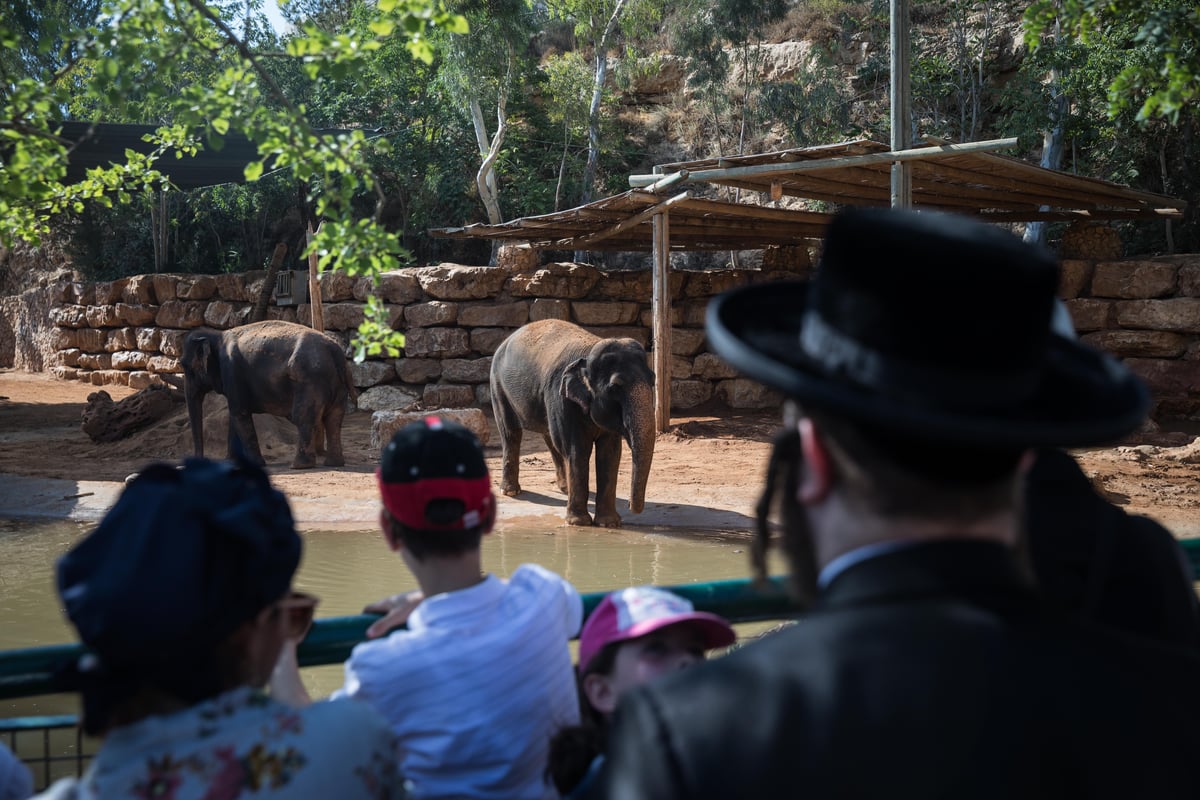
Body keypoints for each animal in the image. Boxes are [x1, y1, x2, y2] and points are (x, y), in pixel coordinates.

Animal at [180, 319, 352, 470]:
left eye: (186, 367)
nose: (200, 461)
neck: (216, 335)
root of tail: (335, 351)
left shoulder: (232, 372)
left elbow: (239, 413)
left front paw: (255, 464)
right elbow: (234, 417)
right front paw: (231, 461)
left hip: (310, 381)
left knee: (303, 417)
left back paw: (299, 466)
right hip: (336, 384)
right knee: (334, 418)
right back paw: (334, 463)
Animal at [487, 316, 657, 527]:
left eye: (653, 379)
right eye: (614, 387)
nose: (631, 506)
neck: (589, 350)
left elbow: (610, 453)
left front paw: (608, 523)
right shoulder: (561, 397)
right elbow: (577, 449)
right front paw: (579, 523)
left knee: (550, 438)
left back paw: (565, 488)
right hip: (498, 386)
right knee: (511, 433)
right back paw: (510, 491)